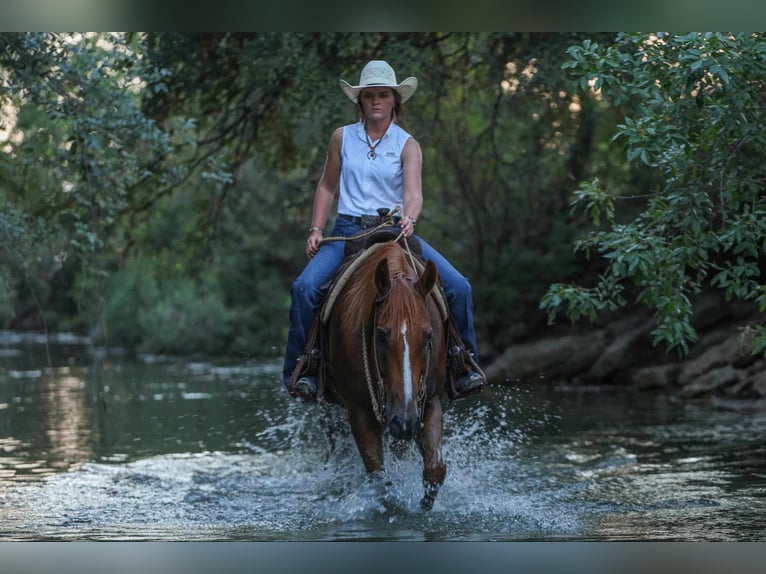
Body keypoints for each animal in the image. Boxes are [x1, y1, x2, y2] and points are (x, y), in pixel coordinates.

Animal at [326, 241, 450, 510]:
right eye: (381, 335)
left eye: (428, 336)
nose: (404, 420)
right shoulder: (359, 409)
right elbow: (378, 478)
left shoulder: (431, 399)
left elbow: (435, 468)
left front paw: (424, 505)